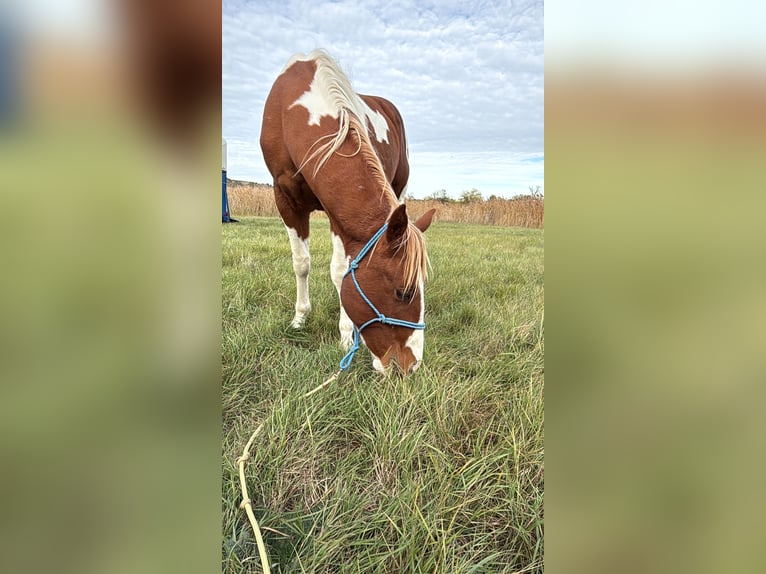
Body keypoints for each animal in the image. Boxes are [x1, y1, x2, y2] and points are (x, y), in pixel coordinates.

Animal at [260, 50, 435, 374]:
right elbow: (301, 263)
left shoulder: (337, 215)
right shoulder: (286, 200)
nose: (411, 366)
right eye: (403, 293)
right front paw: (300, 318)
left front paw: (344, 336)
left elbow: (341, 271)